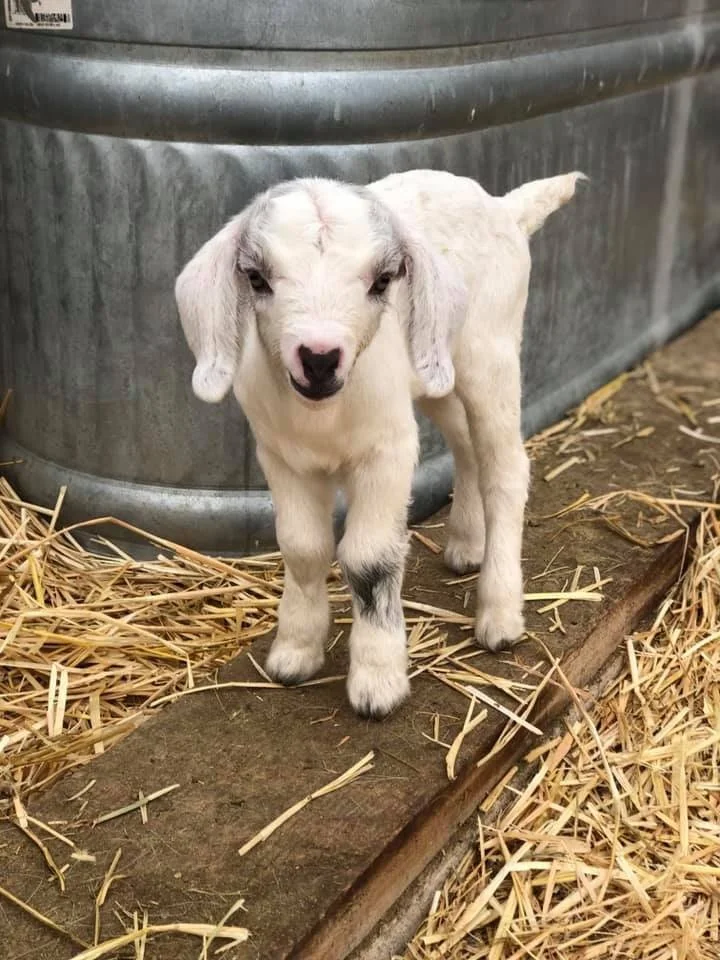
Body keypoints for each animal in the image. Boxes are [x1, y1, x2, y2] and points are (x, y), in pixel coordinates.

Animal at [175, 169, 584, 718]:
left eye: (383, 280)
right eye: (257, 279)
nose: (319, 359)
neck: (322, 417)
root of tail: (503, 207)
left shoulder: (386, 453)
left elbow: (370, 559)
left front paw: (377, 681)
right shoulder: (281, 457)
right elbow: (302, 548)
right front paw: (295, 652)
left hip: (490, 353)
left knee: (505, 469)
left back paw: (499, 615)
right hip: (435, 371)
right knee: (464, 446)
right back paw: (465, 545)